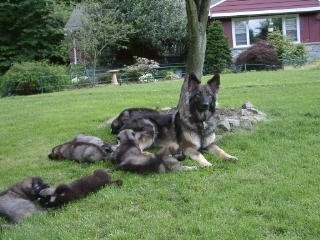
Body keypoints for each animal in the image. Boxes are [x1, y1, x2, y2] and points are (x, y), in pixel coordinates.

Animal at [110, 73, 238, 167]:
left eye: (210, 95)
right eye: (198, 95)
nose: (205, 105)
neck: (201, 122)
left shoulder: (210, 145)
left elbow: (220, 150)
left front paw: (229, 157)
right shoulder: (188, 148)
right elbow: (199, 155)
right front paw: (206, 163)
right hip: (150, 126)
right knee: (131, 147)